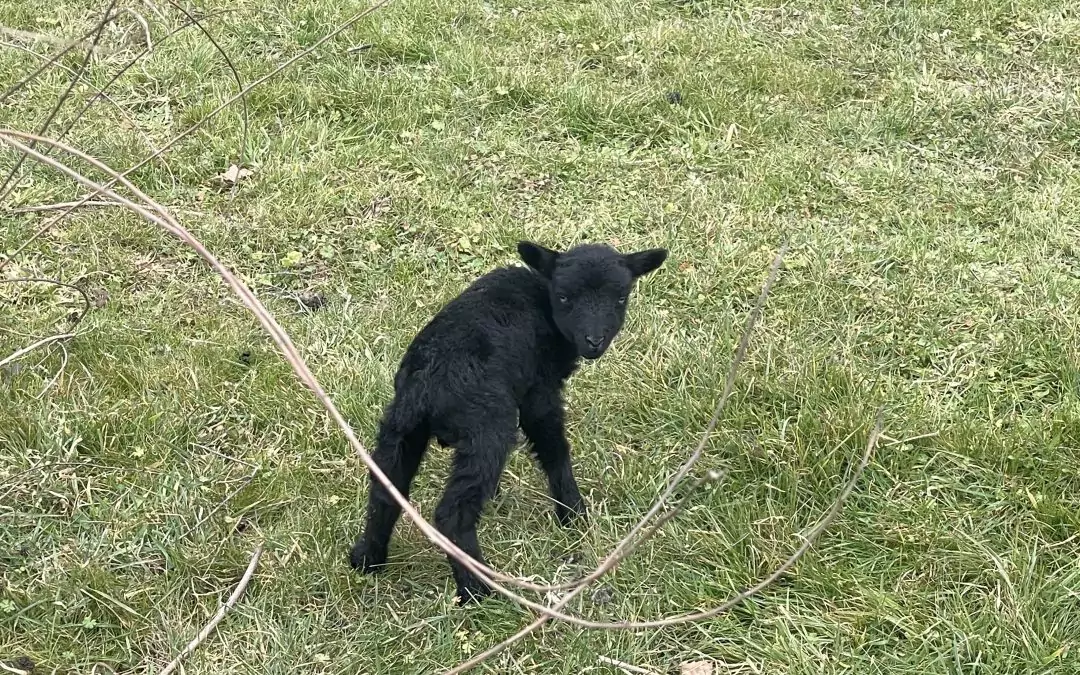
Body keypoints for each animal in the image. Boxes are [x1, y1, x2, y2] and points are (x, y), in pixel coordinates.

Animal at [349, 240, 668, 603]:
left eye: (620, 297)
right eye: (563, 297)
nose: (594, 342)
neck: (542, 298)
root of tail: (426, 387)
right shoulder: (538, 391)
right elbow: (554, 449)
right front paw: (573, 514)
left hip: (402, 429)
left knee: (385, 490)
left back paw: (368, 559)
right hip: (487, 428)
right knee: (451, 515)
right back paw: (477, 592)